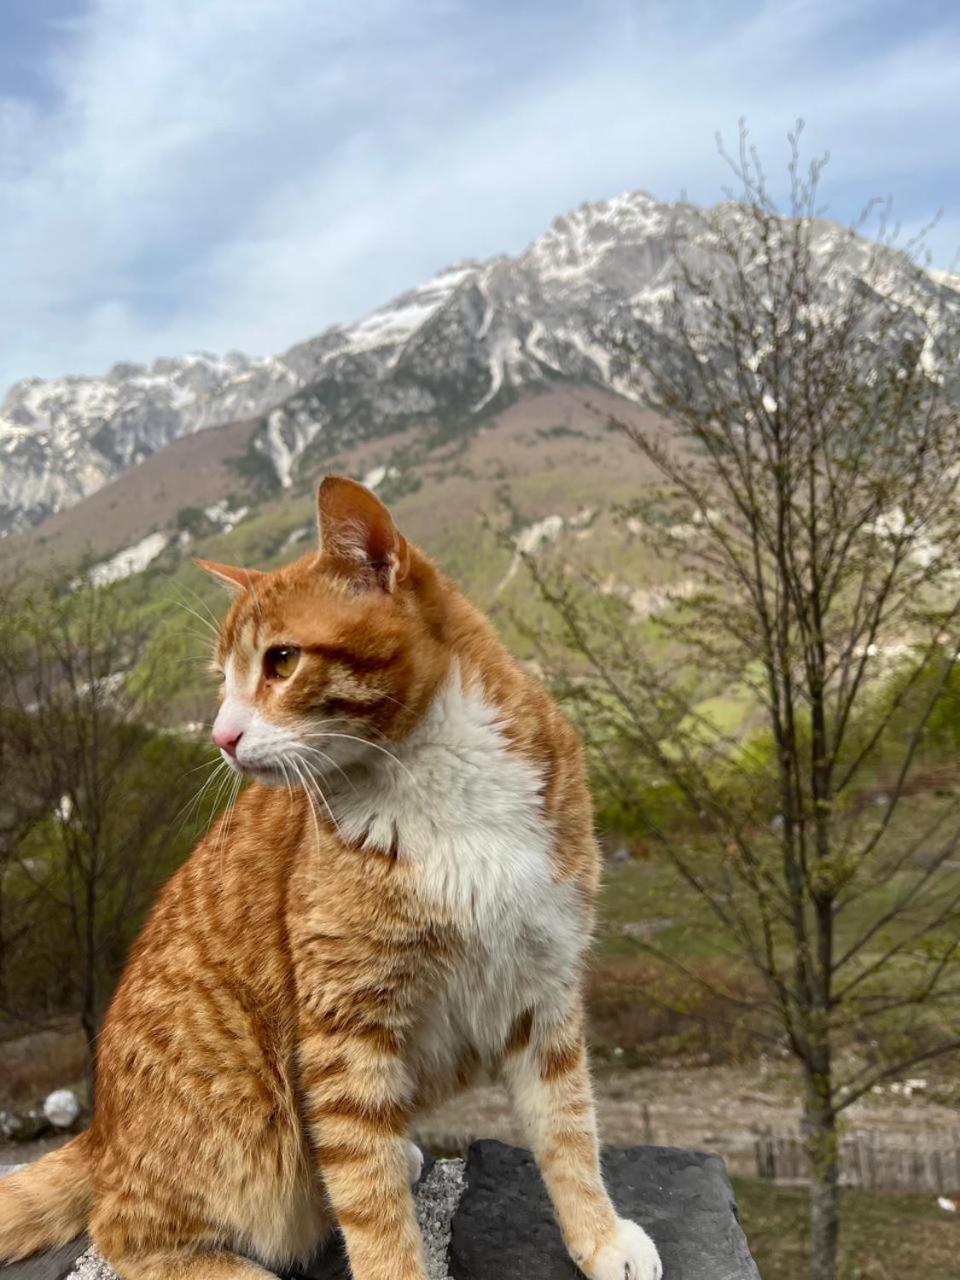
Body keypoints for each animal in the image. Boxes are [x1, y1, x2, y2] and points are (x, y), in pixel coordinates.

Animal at [0, 476, 665, 1280]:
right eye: (222, 681)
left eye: (281, 661)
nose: (220, 736)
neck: (437, 779)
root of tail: (102, 1130)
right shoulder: (345, 1030)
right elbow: (371, 1205)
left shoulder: (543, 988)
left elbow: (569, 1130)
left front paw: (597, 1234)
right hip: (242, 1120)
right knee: (123, 1226)